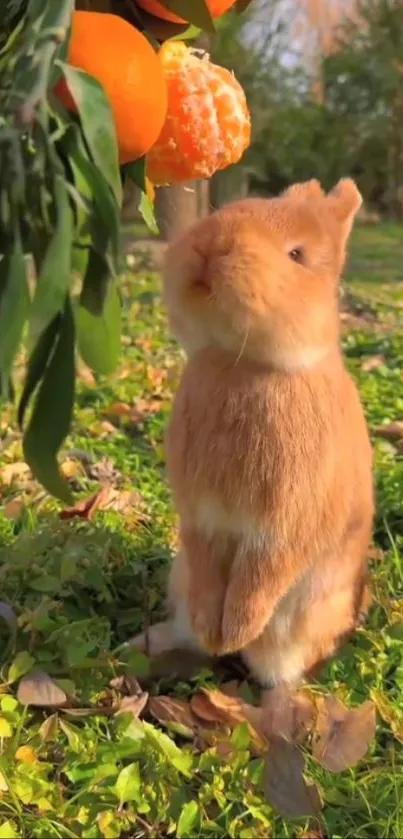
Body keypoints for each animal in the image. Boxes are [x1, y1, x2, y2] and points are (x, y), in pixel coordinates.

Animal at [133, 179, 376, 688]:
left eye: (297, 255)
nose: (212, 245)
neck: (243, 364)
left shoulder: (284, 525)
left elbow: (262, 573)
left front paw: (232, 633)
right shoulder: (201, 518)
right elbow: (209, 562)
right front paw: (215, 631)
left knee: (277, 673)